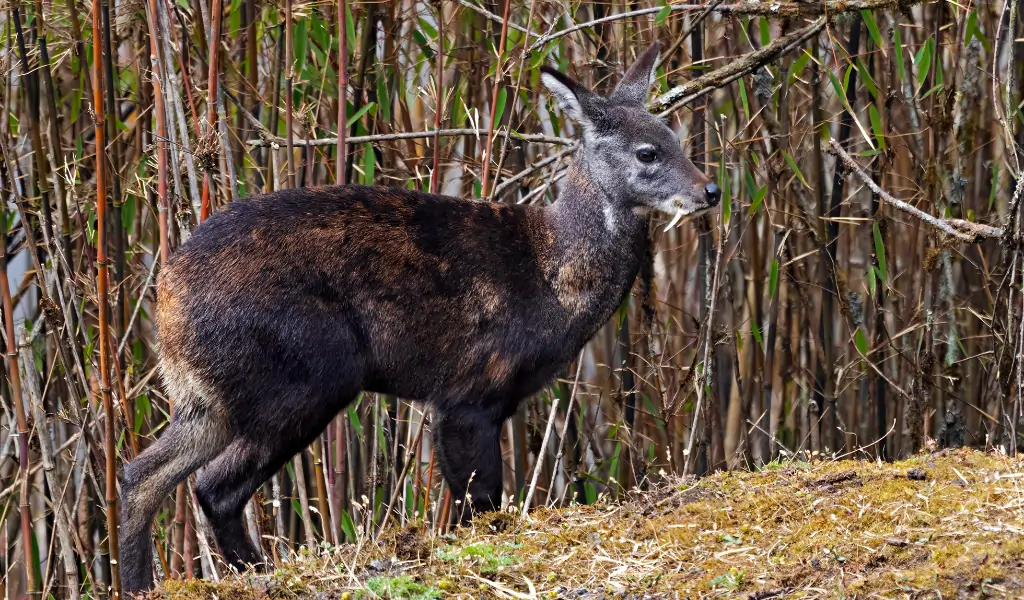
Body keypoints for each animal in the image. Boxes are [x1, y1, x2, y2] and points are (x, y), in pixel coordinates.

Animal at [119, 40, 720, 593]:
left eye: (677, 137)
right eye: (647, 152)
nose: (711, 190)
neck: (551, 276)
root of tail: (167, 297)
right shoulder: (468, 390)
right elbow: (481, 500)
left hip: (210, 397)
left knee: (141, 474)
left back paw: (143, 582)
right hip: (304, 374)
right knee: (213, 486)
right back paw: (259, 573)